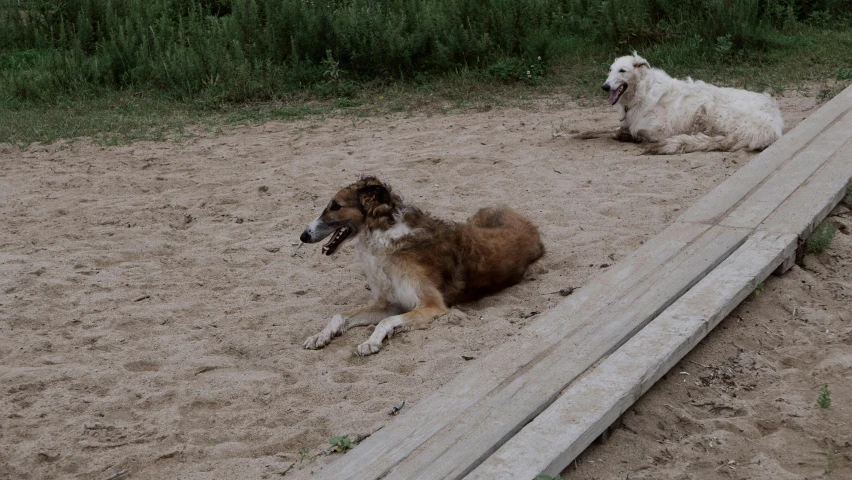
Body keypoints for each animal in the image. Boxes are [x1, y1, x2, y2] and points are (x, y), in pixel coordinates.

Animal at [296, 177, 544, 356]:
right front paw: (320, 336)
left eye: (336, 206)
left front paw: (371, 342)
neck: (384, 236)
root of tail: (532, 227)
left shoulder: (431, 305)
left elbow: (386, 321)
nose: (303, 236)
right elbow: (340, 315)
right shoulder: (390, 302)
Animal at [604, 52, 784, 155]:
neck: (643, 91)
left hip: (713, 113)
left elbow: (635, 133)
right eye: (610, 70)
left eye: (622, 71)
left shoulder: (659, 131)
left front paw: (626, 136)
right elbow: (617, 130)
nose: (604, 87)